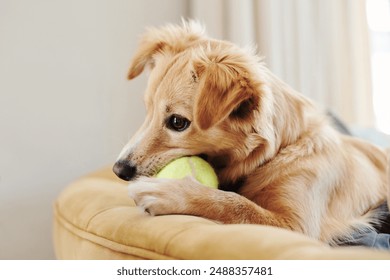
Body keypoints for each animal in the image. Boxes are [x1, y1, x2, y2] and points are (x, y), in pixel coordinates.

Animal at [112, 21, 386, 245]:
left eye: (178, 122)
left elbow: (236, 204)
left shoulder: (297, 226)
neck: (278, 151)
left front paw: (169, 192)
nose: (118, 170)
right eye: (147, 109)